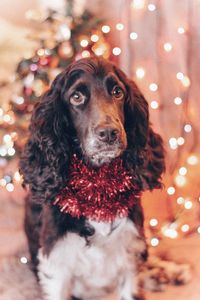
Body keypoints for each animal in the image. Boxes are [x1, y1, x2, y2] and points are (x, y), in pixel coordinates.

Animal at [19, 56, 165, 300]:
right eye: (76, 97)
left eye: (117, 92)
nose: (108, 134)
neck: (98, 186)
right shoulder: (57, 263)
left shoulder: (130, 256)